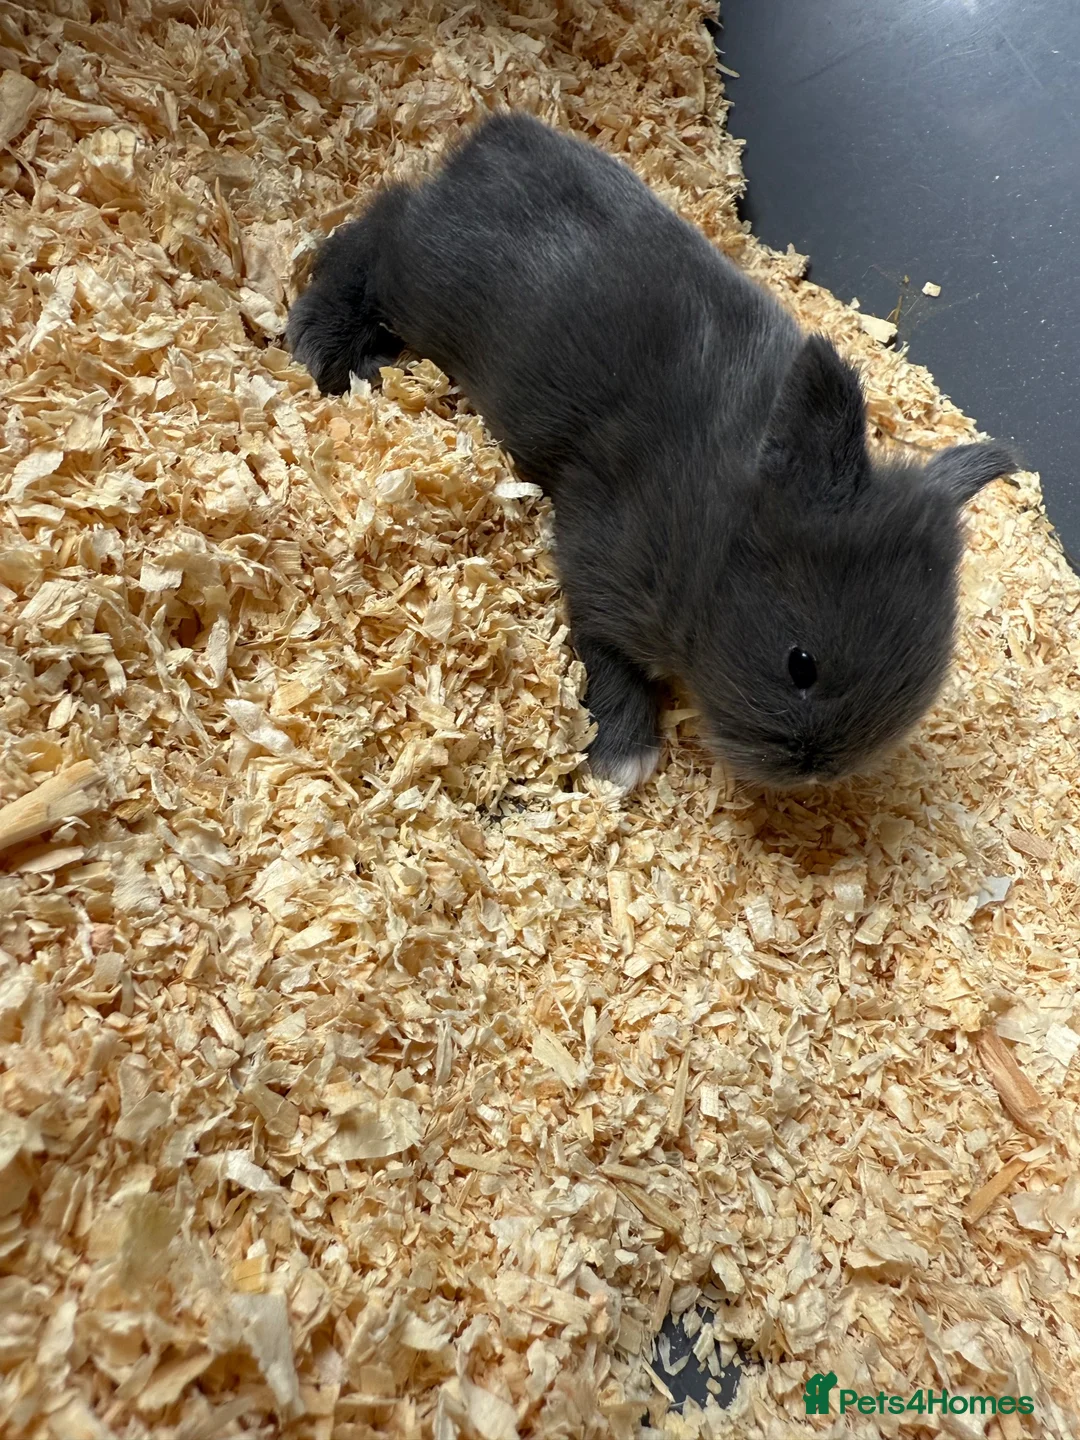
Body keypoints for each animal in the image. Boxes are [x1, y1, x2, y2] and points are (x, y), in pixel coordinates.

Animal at [287, 112, 1016, 790]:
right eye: (800, 665)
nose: (816, 772)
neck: (716, 534)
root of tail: (490, 139)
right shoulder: (604, 575)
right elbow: (608, 660)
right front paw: (620, 764)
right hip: (421, 281)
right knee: (373, 231)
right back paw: (325, 348)